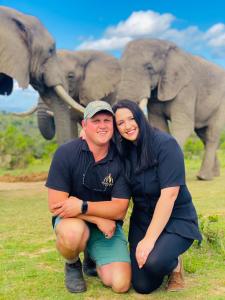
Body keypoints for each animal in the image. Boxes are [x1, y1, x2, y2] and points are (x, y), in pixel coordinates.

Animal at [117, 39, 225, 180]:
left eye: (149, 68)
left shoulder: (186, 88)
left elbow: (183, 126)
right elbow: (159, 124)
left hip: (221, 102)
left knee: (212, 134)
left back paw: (203, 177)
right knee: (203, 135)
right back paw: (214, 175)